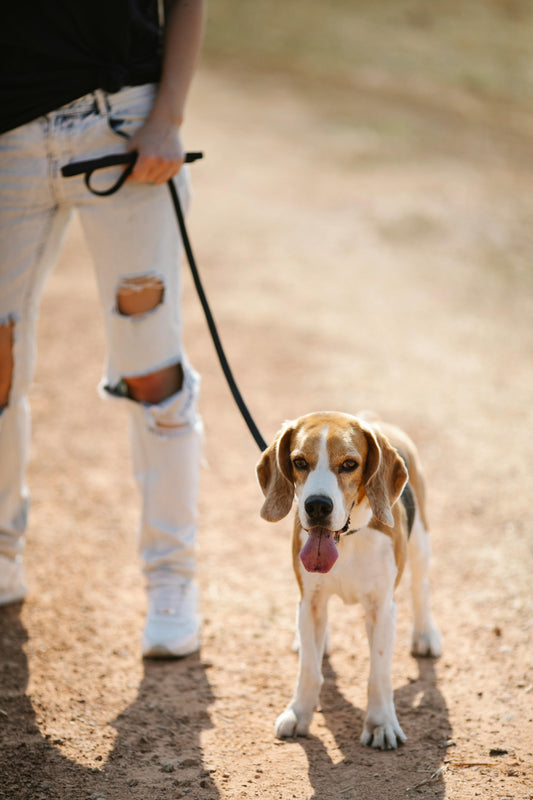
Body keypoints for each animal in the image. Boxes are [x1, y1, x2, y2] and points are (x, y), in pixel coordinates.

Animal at [256, 412, 440, 752]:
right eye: (299, 462)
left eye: (349, 464)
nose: (317, 505)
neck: (349, 538)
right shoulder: (310, 602)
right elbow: (309, 671)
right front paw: (298, 713)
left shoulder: (382, 609)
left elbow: (378, 674)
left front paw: (381, 724)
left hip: (421, 541)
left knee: (420, 588)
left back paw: (425, 635)